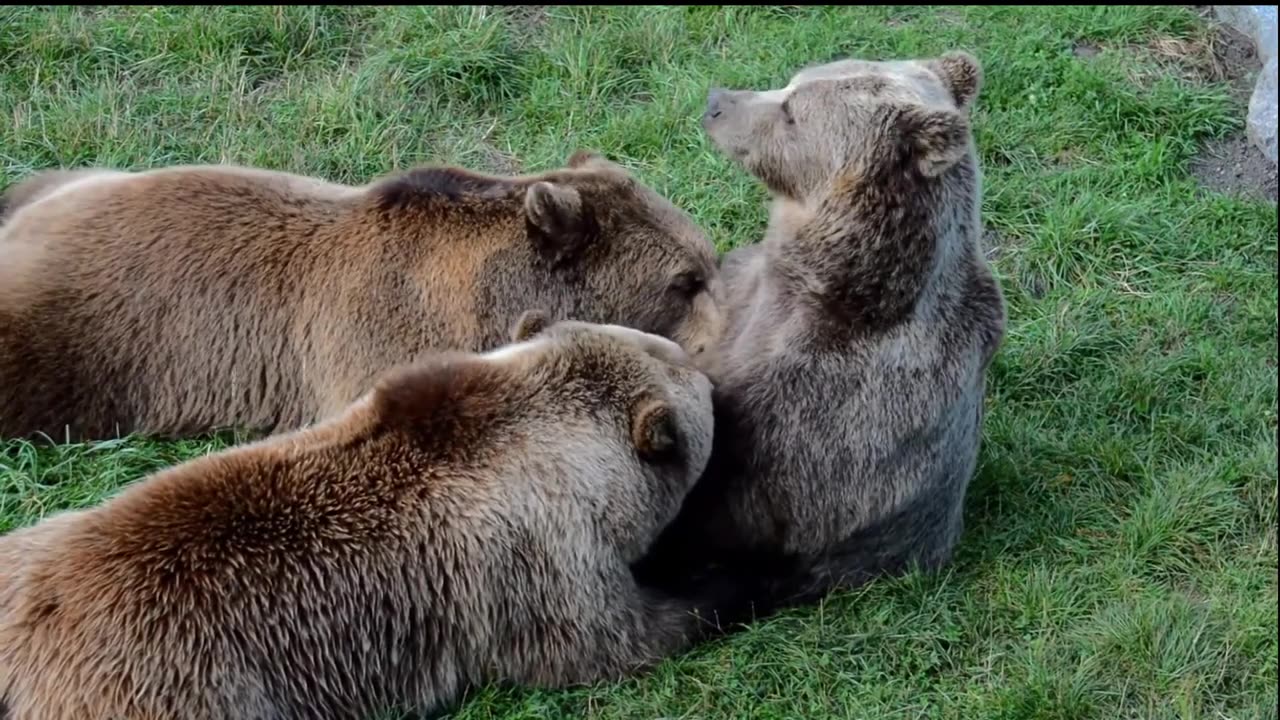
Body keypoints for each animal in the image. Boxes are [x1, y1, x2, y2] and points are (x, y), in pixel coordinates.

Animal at [0, 316, 747, 717]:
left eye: (669, 346)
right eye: (690, 364)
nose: (707, 367)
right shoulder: (535, 564)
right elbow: (613, 639)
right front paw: (725, 584)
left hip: (28, 548)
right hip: (176, 687)